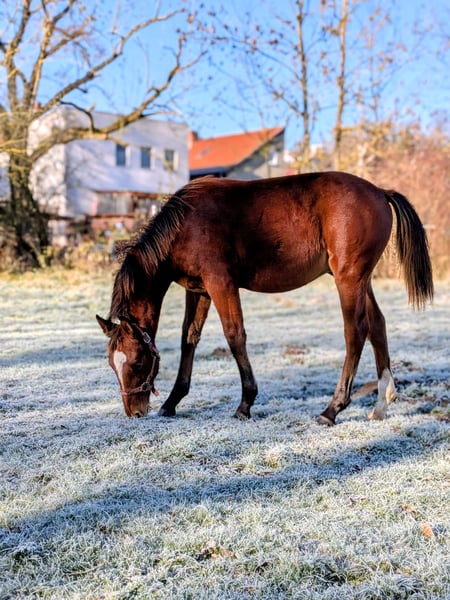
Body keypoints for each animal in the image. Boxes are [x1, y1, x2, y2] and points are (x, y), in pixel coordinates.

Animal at [96, 172, 433, 425]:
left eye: (137, 361)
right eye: (112, 364)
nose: (134, 412)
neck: (185, 224)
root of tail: (379, 191)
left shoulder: (221, 284)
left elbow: (235, 336)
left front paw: (245, 404)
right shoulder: (199, 290)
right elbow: (188, 338)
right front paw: (172, 402)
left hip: (348, 278)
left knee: (356, 331)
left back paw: (332, 408)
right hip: (361, 280)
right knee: (377, 325)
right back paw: (381, 404)